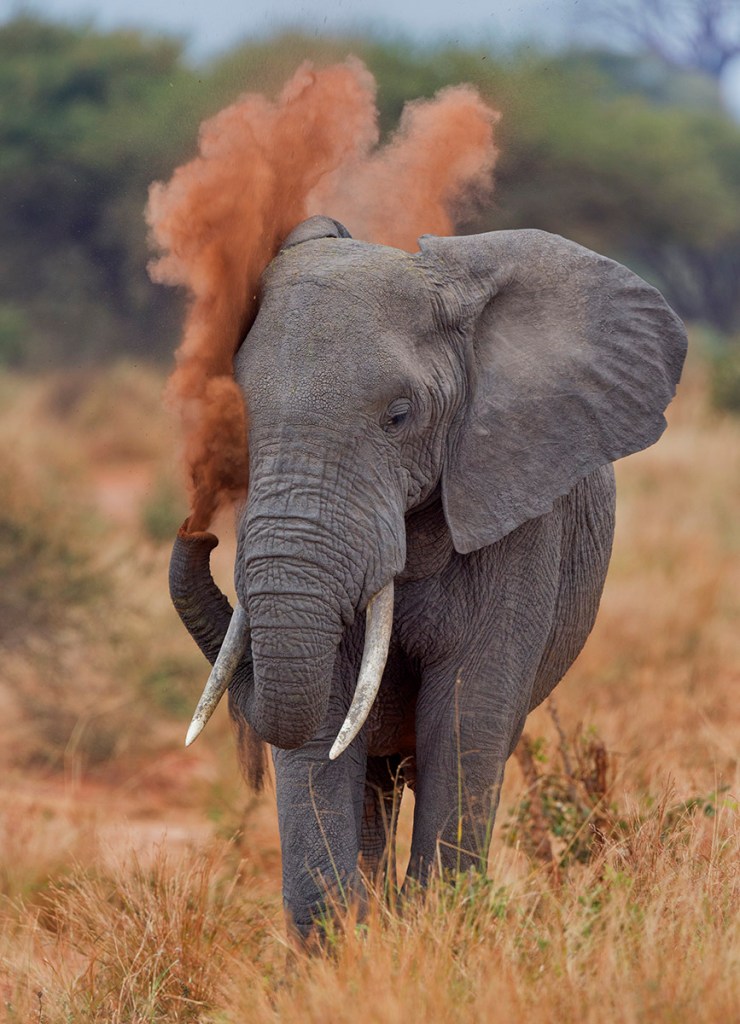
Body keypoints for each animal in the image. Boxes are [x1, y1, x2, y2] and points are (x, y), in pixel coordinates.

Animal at [169, 215, 687, 939]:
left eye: (399, 415)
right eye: (238, 416)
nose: (201, 531)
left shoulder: (517, 507)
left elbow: (468, 712)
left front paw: (434, 928)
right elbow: (324, 721)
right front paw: (350, 941)